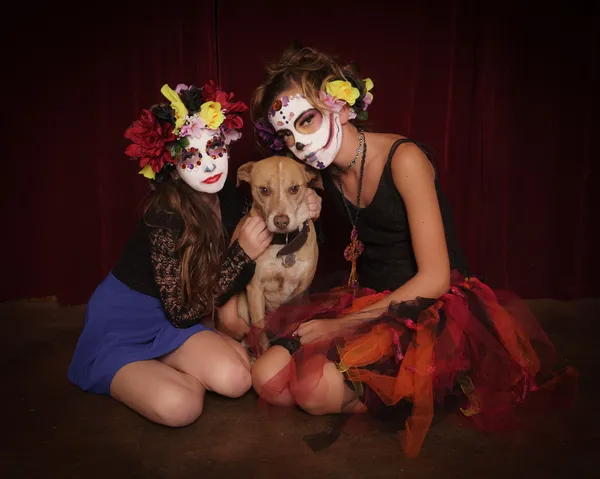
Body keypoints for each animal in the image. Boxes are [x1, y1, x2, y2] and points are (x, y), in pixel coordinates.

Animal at [236, 158, 322, 352]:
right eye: (264, 190)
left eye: (294, 188)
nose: (281, 221)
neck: (284, 244)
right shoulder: (255, 290)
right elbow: (260, 333)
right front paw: (265, 352)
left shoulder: (301, 292)